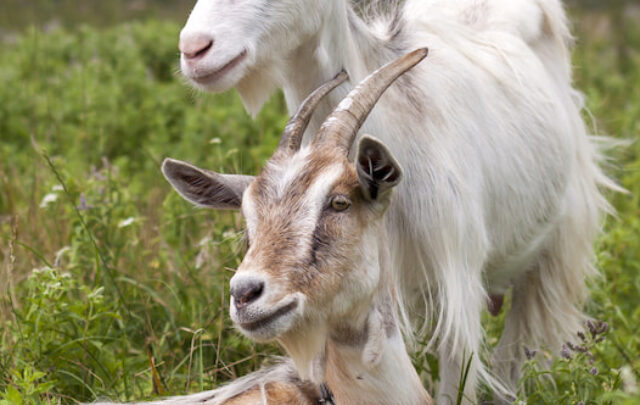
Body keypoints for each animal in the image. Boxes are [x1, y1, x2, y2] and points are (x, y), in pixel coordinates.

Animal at [178, 0, 612, 400]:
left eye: (339, 203)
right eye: (248, 219)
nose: (193, 49)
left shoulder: (456, 284)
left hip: (554, 253)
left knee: (513, 359)